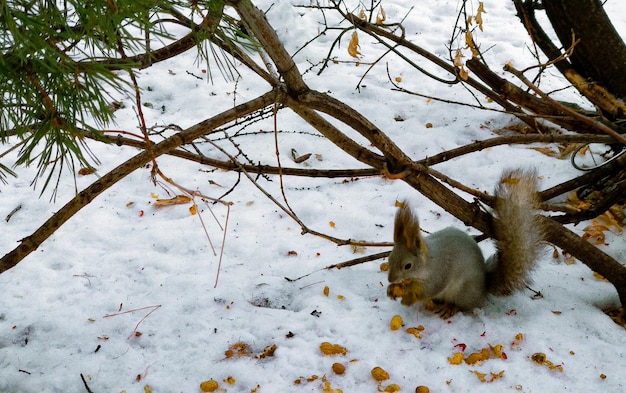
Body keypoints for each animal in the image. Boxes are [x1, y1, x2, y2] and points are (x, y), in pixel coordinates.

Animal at [388, 168, 544, 318]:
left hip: (464, 291)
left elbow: (429, 290)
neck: (428, 262)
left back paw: (451, 308)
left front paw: (409, 298)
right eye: (389, 259)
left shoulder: (439, 273)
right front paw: (393, 290)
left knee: (465, 306)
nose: (390, 279)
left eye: (408, 266)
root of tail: (483, 290)